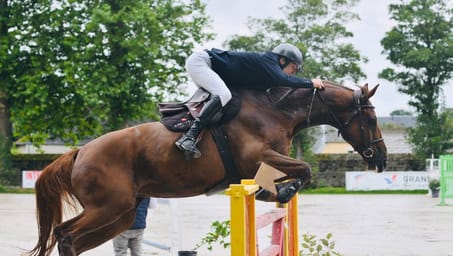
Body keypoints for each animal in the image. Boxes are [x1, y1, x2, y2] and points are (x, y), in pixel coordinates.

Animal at [30, 80, 386, 256]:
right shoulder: (259, 157)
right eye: (370, 118)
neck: (277, 111)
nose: (381, 158)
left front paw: (276, 193)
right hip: (108, 207)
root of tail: (80, 152)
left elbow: (289, 177)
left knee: (73, 241)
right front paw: (283, 192)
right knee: (65, 235)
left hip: (121, 214)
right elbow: (305, 170)